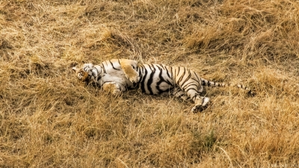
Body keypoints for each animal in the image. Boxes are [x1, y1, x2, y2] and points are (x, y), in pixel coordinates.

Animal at [72, 58, 253, 112]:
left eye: (82, 73)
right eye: (82, 79)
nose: (86, 79)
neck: (100, 74)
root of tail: (197, 75)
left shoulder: (129, 61)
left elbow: (126, 67)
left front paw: (133, 78)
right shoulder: (117, 85)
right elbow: (109, 87)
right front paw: (113, 90)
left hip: (184, 82)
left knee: (202, 97)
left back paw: (197, 107)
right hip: (180, 92)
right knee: (203, 98)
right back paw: (198, 108)